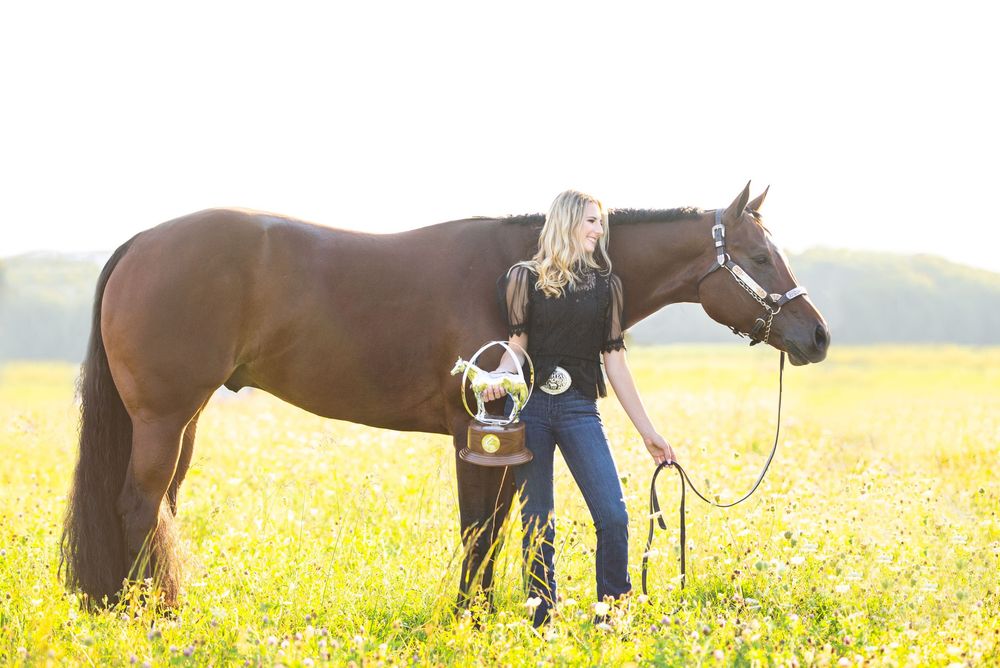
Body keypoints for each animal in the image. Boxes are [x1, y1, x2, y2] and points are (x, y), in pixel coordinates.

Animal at [60, 183, 830, 608]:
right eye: (758, 257)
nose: (816, 337)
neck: (522, 268)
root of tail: (140, 243)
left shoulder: (513, 445)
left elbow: (502, 529)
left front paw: (485, 614)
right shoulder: (473, 434)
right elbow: (477, 529)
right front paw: (470, 617)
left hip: (182, 419)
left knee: (161, 505)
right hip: (164, 417)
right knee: (140, 504)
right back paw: (153, 613)